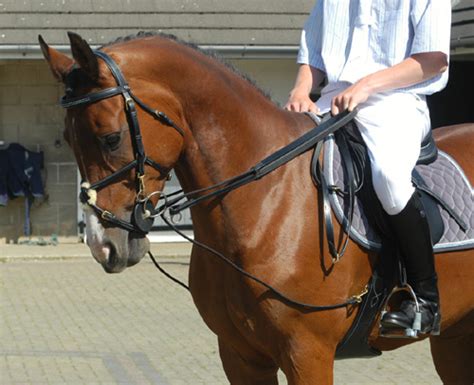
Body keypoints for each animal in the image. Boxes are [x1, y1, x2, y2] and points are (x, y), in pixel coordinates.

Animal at [39, 33, 472, 384]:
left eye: (110, 138)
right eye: (67, 139)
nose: (103, 244)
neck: (265, 204)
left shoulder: (307, 353)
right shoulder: (239, 354)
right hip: (453, 337)